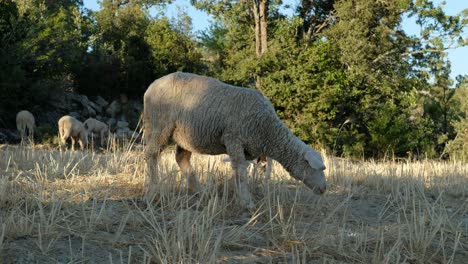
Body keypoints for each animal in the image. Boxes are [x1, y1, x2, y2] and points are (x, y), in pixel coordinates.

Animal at [143, 71, 326, 208]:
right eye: (317, 168)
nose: (324, 189)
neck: (268, 130)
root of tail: (151, 87)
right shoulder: (233, 139)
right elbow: (241, 172)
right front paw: (247, 202)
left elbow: (241, 172)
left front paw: (241, 196)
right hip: (160, 124)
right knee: (151, 154)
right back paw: (154, 190)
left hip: (185, 135)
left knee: (181, 159)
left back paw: (201, 191)